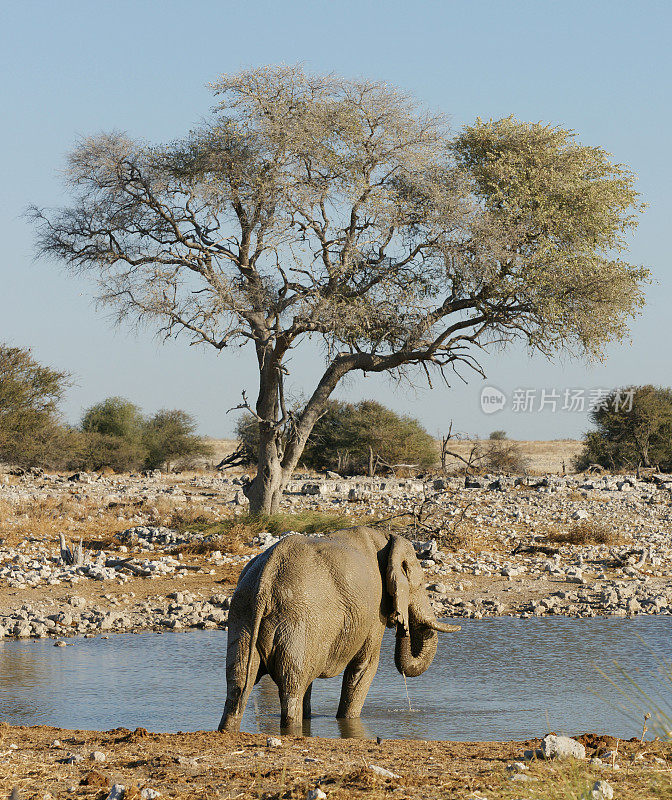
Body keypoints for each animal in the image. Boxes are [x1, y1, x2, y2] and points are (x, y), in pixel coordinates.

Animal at [218, 524, 460, 732]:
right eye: (420, 584)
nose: (403, 624)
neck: (386, 538)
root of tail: (266, 580)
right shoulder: (375, 609)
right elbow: (365, 666)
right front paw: (347, 719)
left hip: (243, 617)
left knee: (238, 681)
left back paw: (228, 729)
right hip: (298, 621)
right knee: (291, 685)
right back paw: (292, 729)